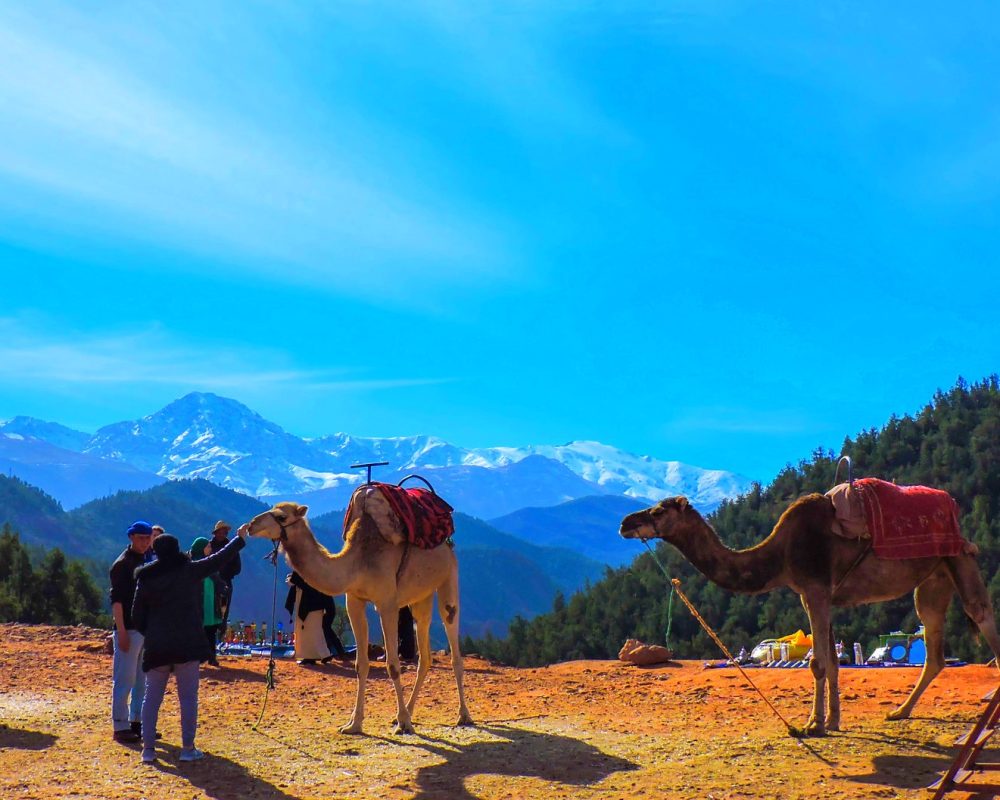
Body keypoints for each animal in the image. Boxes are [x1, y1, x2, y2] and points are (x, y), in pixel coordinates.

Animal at [246, 494, 472, 736]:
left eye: (281, 516)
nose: (251, 525)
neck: (358, 562)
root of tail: (447, 542)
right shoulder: (354, 600)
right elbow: (360, 664)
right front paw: (354, 724)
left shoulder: (388, 604)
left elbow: (393, 665)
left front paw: (403, 723)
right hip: (421, 596)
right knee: (425, 651)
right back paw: (409, 712)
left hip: (449, 578)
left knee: (452, 638)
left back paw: (462, 715)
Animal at [616, 494, 1000, 736]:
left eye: (658, 511)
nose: (625, 523)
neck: (780, 555)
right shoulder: (814, 595)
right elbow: (831, 660)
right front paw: (832, 721)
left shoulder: (815, 589)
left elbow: (817, 663)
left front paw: (812, 725)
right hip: (932, 579)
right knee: (934, 651)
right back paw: (899, 712)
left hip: (959, 558)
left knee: (982, 615)